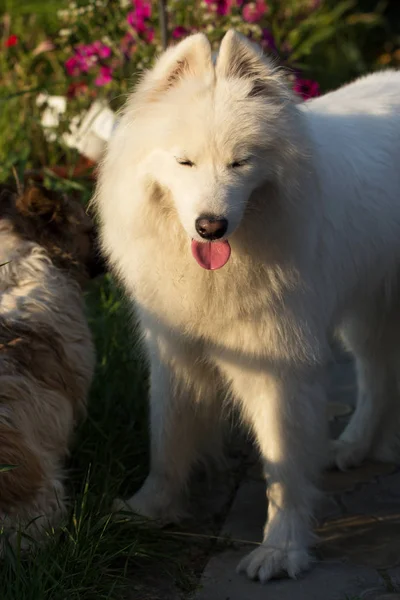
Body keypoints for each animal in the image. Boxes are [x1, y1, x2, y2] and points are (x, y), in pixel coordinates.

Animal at [94, 30, 400, 584]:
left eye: (241, 162)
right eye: (185, 162)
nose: (211, 227)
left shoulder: (280, 367)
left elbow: (282, 462)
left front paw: (282, 549)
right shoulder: (174, 352)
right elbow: (167, 440)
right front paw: (148, 510)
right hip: (368, 314)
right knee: (379, 376)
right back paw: (353, 446)